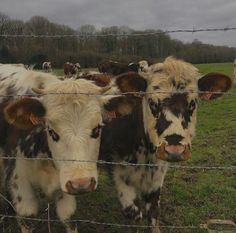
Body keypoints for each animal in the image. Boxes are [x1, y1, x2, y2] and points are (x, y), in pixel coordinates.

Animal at [0, 64, 119, 233]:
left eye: (97, 128)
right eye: (51, 131)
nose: (82, 183)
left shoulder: (66, 179)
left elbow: (69, 218)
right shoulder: (19, 181)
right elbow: (27, 218)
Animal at [98, 57, 232, 233]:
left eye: (193, 103)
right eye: (152, 102)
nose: (174, 149)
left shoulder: (157, 176)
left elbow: (153, 213)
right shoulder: (115, 165)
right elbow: (131, 210)